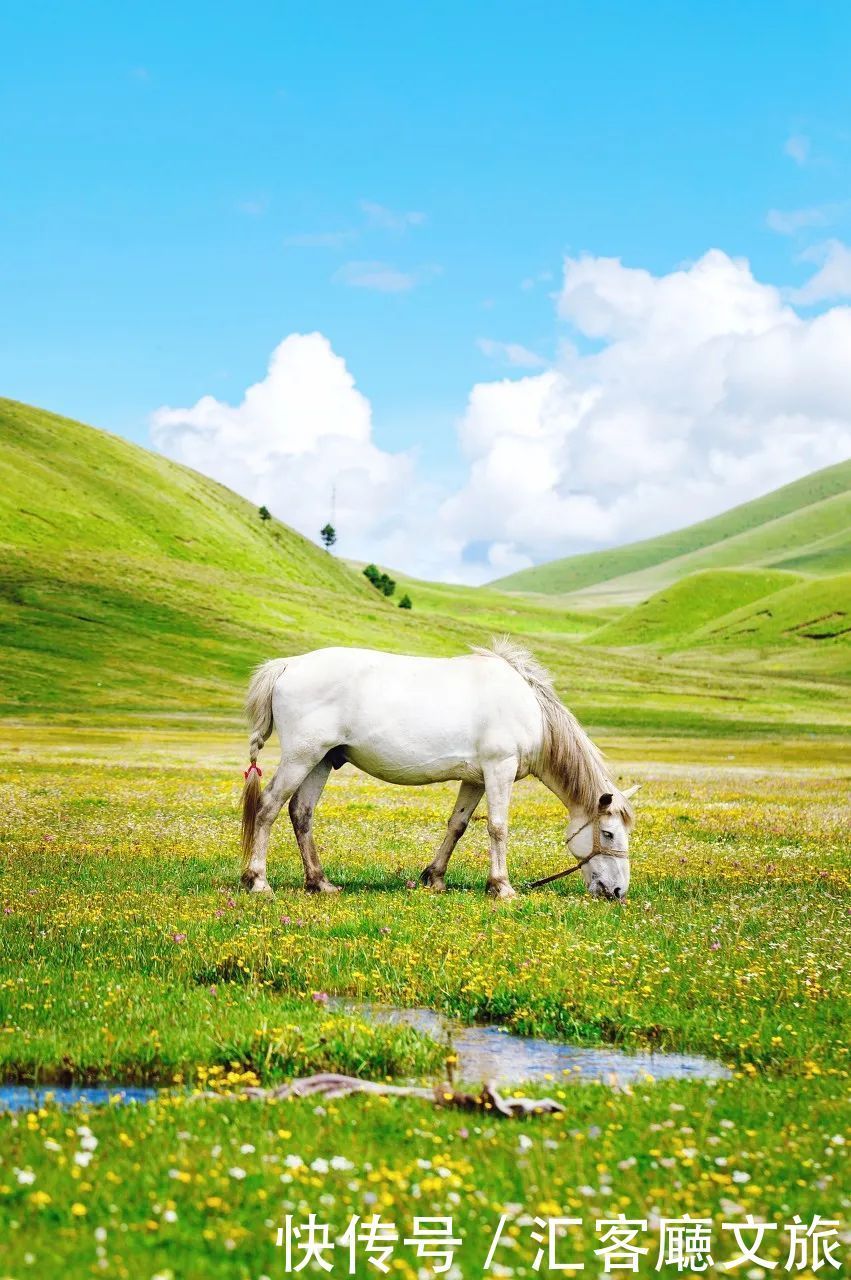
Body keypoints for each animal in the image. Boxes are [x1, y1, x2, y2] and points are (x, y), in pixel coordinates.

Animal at [239, 640, 637, 901]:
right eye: (609, 834)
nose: (618, 891)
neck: (531, 711)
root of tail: (288, 665)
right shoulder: (499, 769)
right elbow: (498, 827)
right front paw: (502, 887)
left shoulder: (475, 779)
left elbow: (457, 825)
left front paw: (435, 878)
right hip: (301, 757)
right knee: (269, 806)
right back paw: (258, 881)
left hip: (321, 760)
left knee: (301, 812)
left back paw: (319, 882)